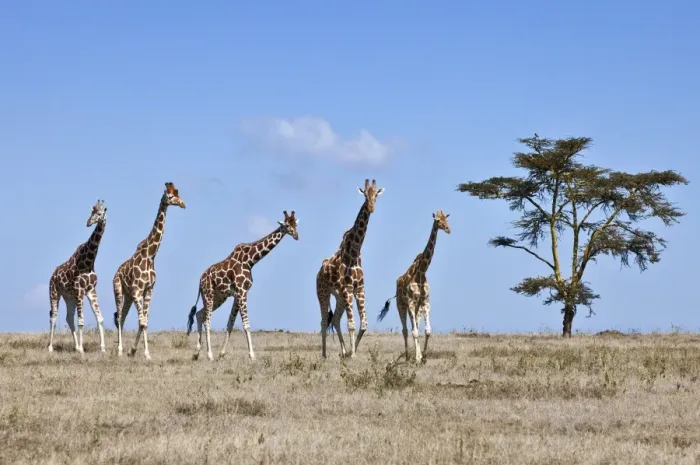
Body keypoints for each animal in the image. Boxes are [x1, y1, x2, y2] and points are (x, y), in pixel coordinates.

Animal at [47, 199, 108, 354]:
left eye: (100, 213)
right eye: (92, 211)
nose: (88, 222)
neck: (89, 261)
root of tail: (52, 275)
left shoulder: (91, 291)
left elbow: (100, 318)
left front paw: (102, 348)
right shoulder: (80, 291)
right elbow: (81, 321)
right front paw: (82, 349)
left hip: (69, 297)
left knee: (69, 318)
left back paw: (75, 346)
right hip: (54, 292)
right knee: (53, 316)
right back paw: (50, 347)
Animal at [112, 182, 186, 360]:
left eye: (178, 193)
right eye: (170, 196)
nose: (183, 204)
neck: (151, 254)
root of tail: (116, 272)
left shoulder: (149, 289)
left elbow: (145, 321)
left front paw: (139, 352)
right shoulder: (138, 290)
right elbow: (142, 321)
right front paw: (138, 352)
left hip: (128, 296)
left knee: (122, 318)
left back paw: (123, 349)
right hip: (118, 290)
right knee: (119, 317)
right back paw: (119, 351)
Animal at [186, 210, 299, 362]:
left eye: (295, 224)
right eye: (287, 225)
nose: (296, 235)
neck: (250, 260)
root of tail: (200, 280)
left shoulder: (237, 294)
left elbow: (230, 323)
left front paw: (222, 353)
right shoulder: (241, 291)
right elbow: (246, 324)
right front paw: (252, 355)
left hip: (219, 297)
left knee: (199, 314)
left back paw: (196, 353)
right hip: (208, 294)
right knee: (207, 320)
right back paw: (209, 355)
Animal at [317, 179, 384, 359]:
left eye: (376, 195)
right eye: (365, 195)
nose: (371, 208)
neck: (354, 253)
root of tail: (318, 272)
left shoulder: (359, 288)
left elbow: (364, 324)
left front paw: (350, 352)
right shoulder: (348, 289)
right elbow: (352, 324)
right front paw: (353, 354)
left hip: (339, 297)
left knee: (335, 320)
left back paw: (343, 351)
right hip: (323, 293)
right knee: (324, 321)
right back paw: (324, 354)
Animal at [377, 209, 451, 362]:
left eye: (446, 220)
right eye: (438, 221)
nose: (448, 229)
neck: (422, 271)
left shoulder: (425, 302)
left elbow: (427, 331)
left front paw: (423, 357)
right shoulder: (410, 302)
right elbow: (415, 332)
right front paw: (417, 358)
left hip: (417, 309)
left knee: (414, 326)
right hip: (401, 305)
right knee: (406, 330)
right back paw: (406, 356)